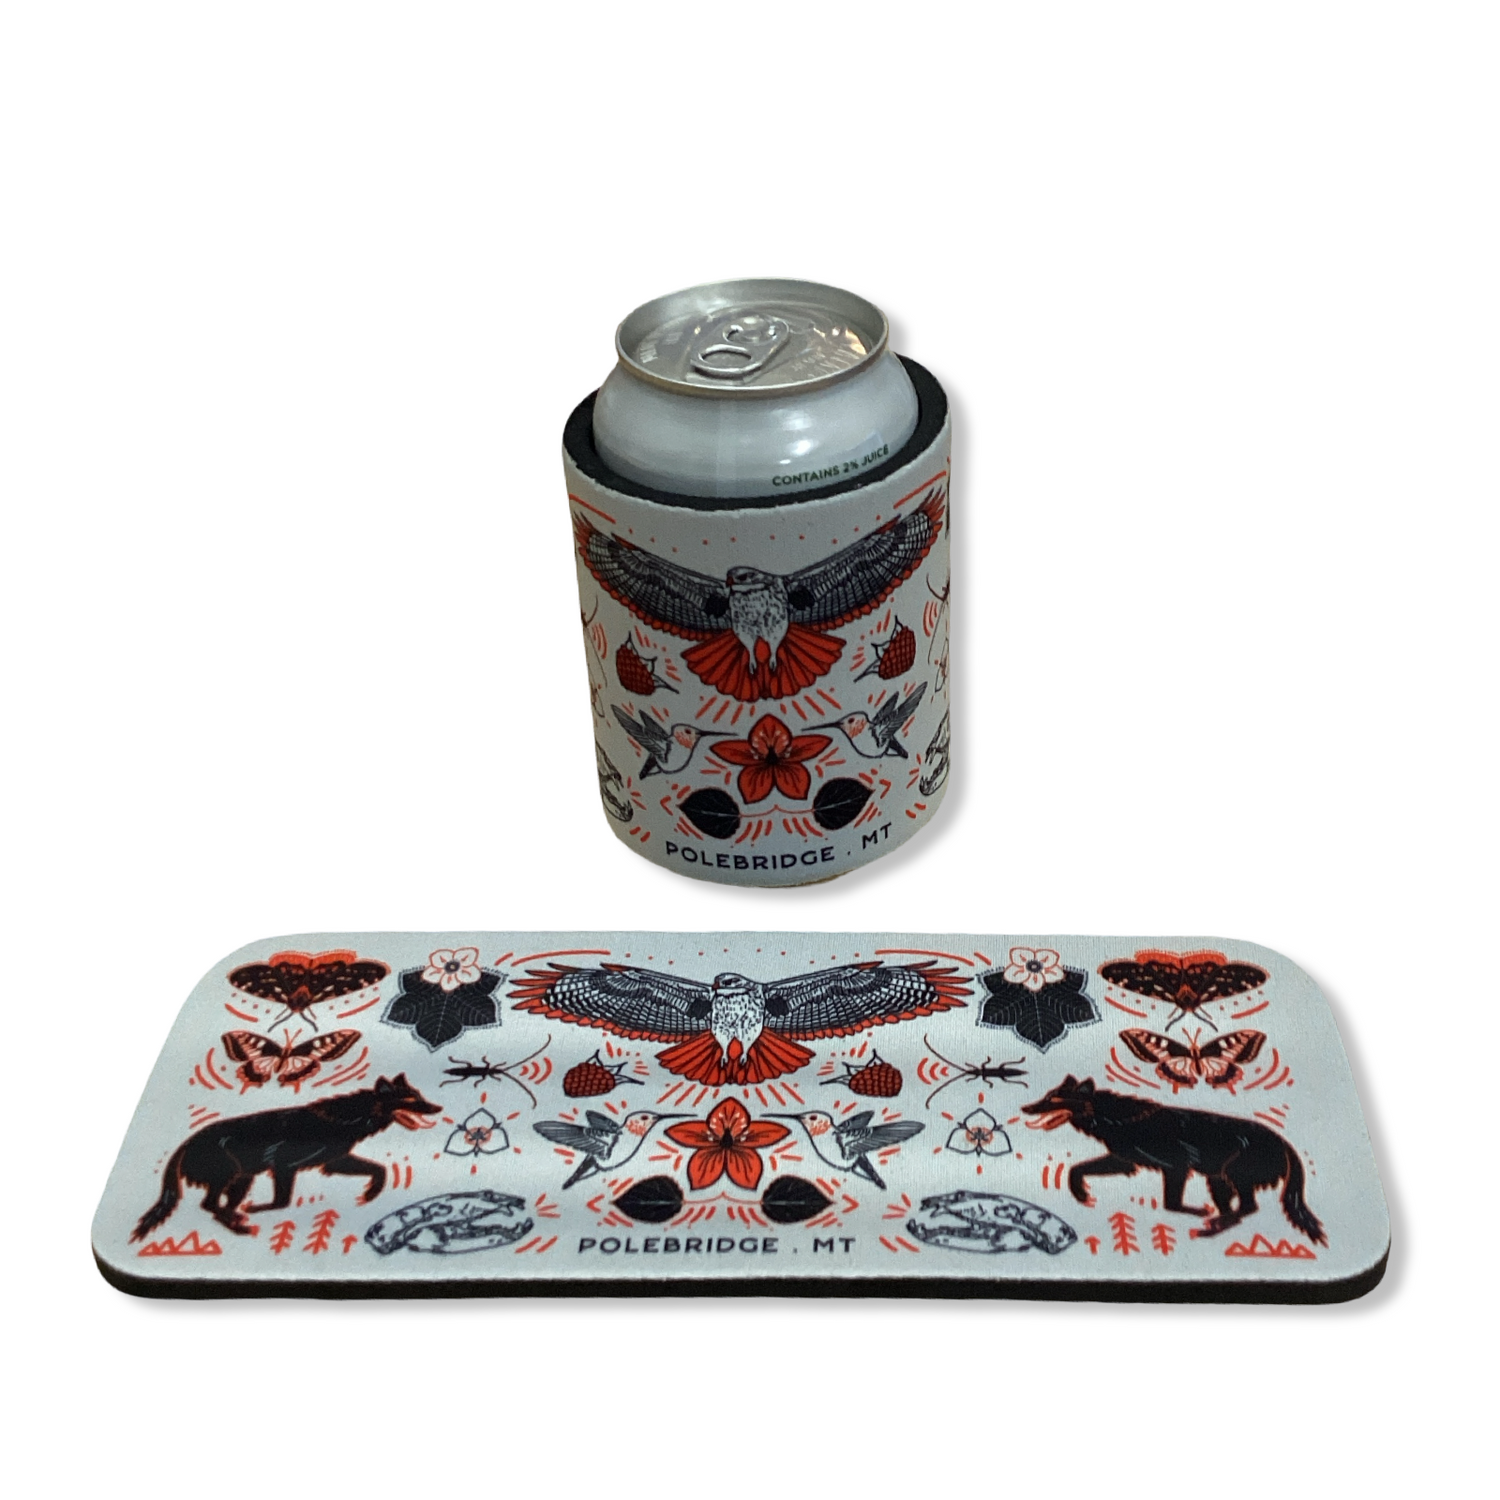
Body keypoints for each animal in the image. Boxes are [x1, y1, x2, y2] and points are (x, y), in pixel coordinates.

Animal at [131, 1074, 441, 1240]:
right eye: (411, 1100)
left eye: (419, 1095)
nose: (438, 1108)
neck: (345, 1118)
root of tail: (184, 1144)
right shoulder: (284, 1165)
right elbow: (282, 1201)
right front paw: (258, 1209)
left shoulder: (333, 1160)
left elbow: (379, 1169)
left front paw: (370, 1194)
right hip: (229, 1173)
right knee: (210, 1205)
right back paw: (240, 1224)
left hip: (243, 1178)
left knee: (219, 1206)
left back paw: (237, 1222)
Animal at [1021, 1075, 1326, 1244]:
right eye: (1047, 1096)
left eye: (1054, 1100)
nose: (1025, 1107)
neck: (1120, 1118)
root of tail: (1285, 1143)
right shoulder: (1124, 1161)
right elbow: (1077, 1168)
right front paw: (1081, 1194)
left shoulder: (1177, 1166)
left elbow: (1171, 1204)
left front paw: (1196, 1212)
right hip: (1218, 1179)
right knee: (1238, 1210)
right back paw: (1215, 1225)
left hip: (1234, 1173)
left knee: (1248, 1207)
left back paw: (1212, 1226)